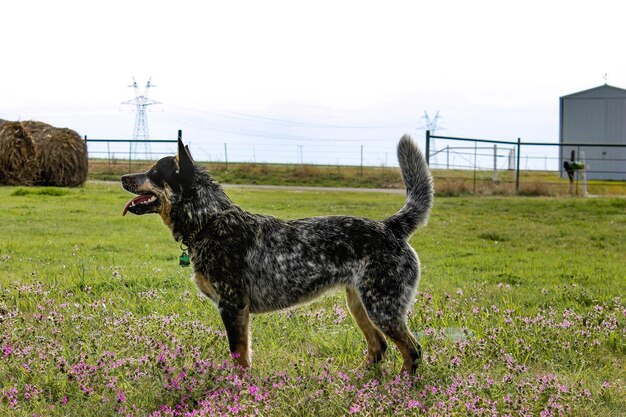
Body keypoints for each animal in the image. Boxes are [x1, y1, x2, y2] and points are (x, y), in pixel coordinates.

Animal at [122, 135, 434, 372]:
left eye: (153, 173)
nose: (124, 176)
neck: (209, 221)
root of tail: (390, 226)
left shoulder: (233, 307)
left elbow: (239, 357)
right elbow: (243, 355)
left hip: (382, 309)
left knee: (413, 350)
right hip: (359, 305)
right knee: (379, 346)